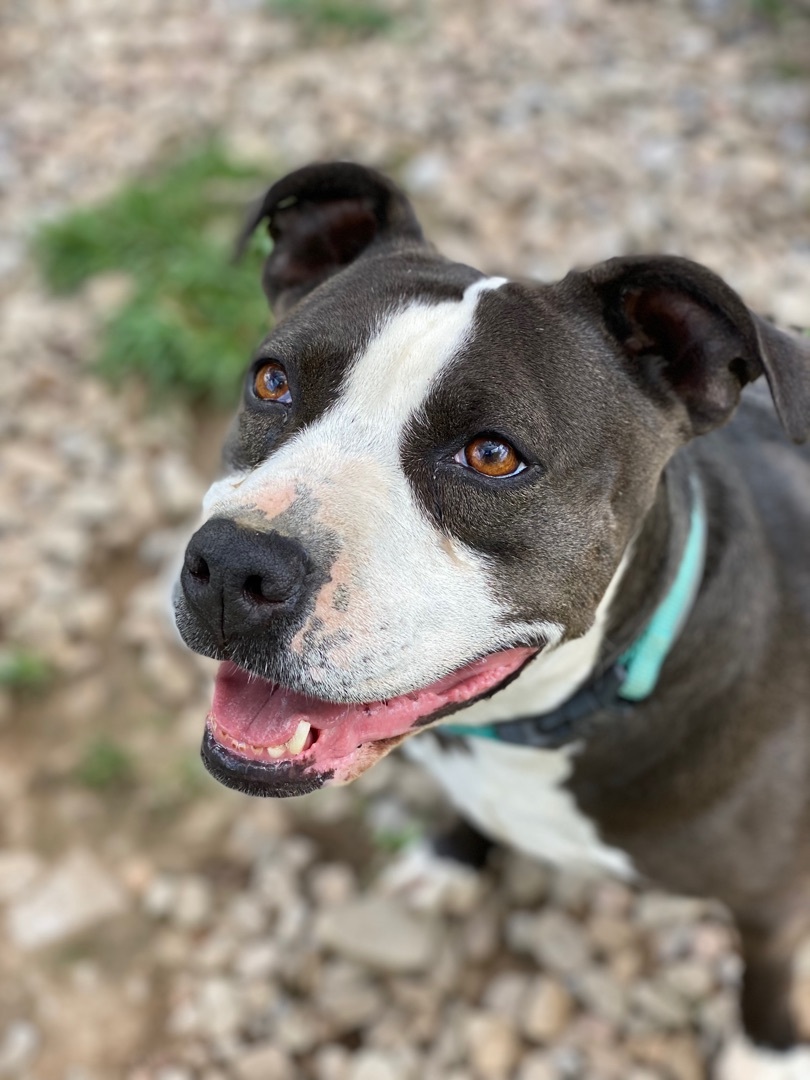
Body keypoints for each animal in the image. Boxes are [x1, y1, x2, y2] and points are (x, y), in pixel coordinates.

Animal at [176, 159, 810, 1071]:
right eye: (271, 382)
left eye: (491, 455)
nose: (232, 567)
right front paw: (451, 858)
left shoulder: (775, 899)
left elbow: (767, 968)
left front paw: (767, 1054)